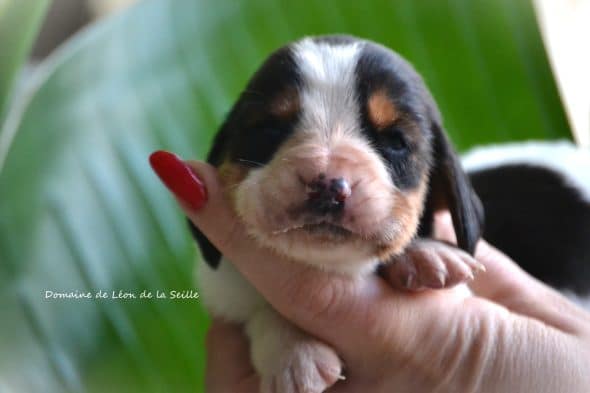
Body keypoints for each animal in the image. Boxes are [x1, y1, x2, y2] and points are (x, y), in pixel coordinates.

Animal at [194, 35, 486, 390]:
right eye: (269, 130)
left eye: (395, 141)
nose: (327, 186)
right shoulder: (222, 289)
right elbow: (258, 307)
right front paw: (294, 353)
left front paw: (426, 254)